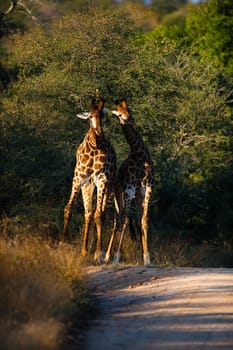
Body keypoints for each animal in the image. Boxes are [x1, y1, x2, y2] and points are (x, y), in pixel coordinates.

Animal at [62, 98, 116, 262]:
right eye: (90, 116)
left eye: (102, 116)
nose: (99, 131)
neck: (94, 145)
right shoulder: (78, 178)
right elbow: (68, 209)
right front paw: (61, 243)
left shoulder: (102, 179)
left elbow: (99, 215)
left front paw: (98, 254)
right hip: (88, 185)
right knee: (88, 213)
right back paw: (85, 250)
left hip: (107, 187)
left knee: (102, 213)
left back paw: (101, 252)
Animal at [104, 98, 154, 266]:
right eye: (119, 114)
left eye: (129, 111)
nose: (129, 120)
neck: (140, 154)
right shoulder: (129, 189)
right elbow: (125, 220)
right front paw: (116, 256)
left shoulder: (147, 189)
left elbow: (144, 220)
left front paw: (147, 258)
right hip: (118, 194)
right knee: (118, 220)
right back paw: (107, 256)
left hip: (135, 195)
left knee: (134, 219)